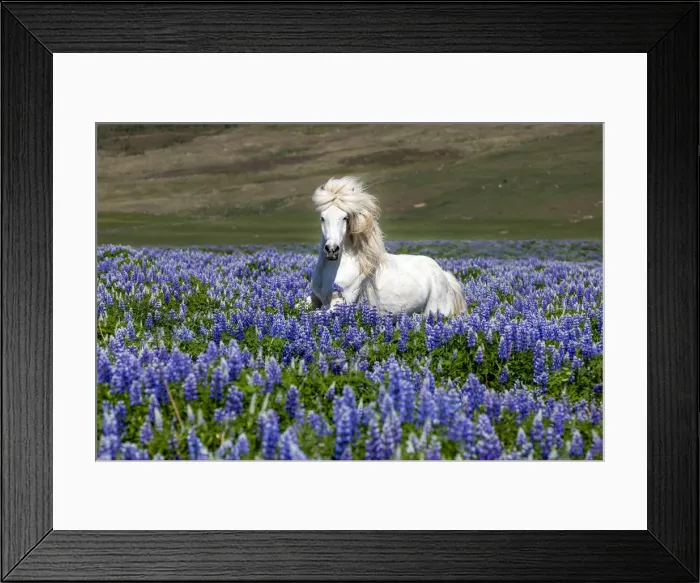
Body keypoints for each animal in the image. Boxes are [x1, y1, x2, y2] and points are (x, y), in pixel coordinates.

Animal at [306, 176, 467, 317]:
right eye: (322, 217)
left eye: (345, 217)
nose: (332, 250)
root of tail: (445, 275)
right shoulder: (315, 298)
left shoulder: (338, 304)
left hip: (433, 310)